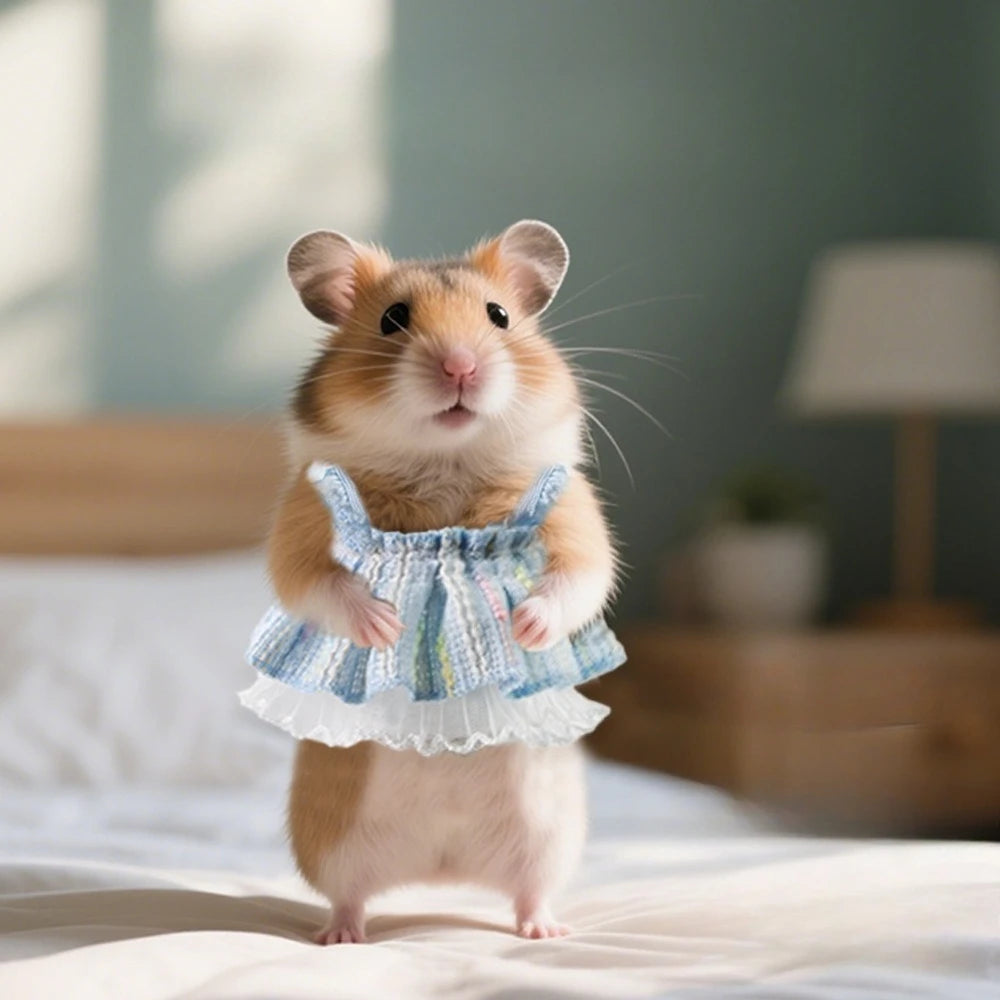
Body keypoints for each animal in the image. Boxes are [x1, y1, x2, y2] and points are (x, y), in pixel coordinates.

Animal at [269, 220, 618, 943]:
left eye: (499, 316)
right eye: (393, 319)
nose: (461, 366)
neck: (445, 465)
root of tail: (441, 868)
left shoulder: (574, 513)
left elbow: (579, 577)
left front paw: (524, 625)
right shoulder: (303, 518)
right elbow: (314, 583)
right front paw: (386, 624)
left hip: (548, 839)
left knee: (530, 893)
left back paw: (544, 932)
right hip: (330, 842)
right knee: (348, 896)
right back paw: (341, 937)